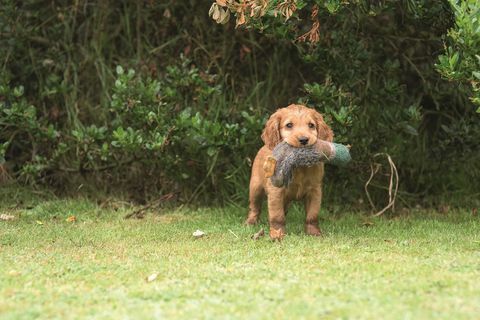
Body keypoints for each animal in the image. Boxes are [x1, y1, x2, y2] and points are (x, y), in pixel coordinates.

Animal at [246, 104, 332, 240]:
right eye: (289, 125)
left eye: (311, 125)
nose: (304, 140)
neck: (298, 165)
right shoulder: (275, 191)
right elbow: (277, 216)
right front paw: (277, 234)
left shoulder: (315, 191)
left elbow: (312, 215)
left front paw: (314, 233)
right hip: (255, 188)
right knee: (254, 207)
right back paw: (250, 222)